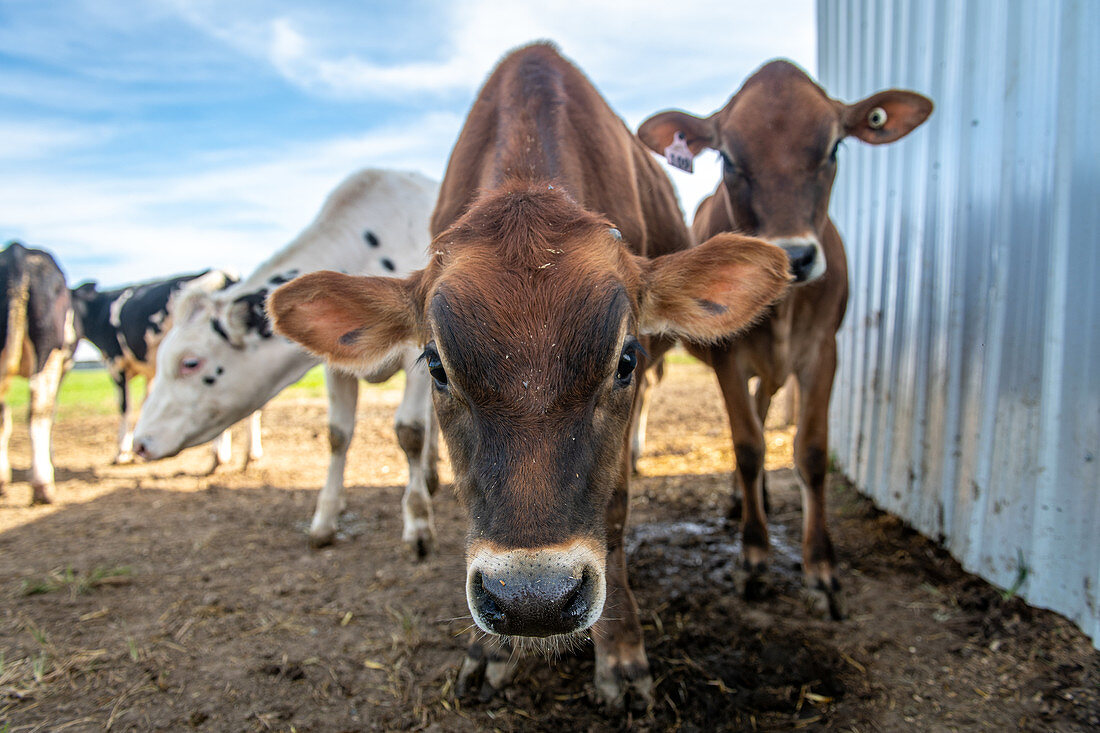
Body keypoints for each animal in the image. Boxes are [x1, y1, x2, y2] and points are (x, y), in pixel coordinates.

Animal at [71, 270, 264, 464]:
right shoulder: (149, 373)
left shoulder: (116, 363)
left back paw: (220, 454)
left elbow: (125, 406)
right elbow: (145, 402)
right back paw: (251, 452)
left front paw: (122, 453)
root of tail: (225, 274)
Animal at [137, 168, 442, 550]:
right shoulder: (336, 364)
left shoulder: (419, 354)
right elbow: (337, 435)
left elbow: (410, 431)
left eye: (190, 362)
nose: (140, 443)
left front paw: (417, 521)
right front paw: (325, 518)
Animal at [270, 42, 792, 704]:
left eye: (624, 360)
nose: (532, 602)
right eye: (436, 365)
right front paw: (487, 648)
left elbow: (614, 507)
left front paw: (621, 653)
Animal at [642, 58, 932, 616]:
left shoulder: (823, 351)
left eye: (834, 147)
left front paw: (821, 567)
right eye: (728, 158)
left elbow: (812, 453)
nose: (794, 258)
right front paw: (754, 558)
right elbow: (749, 446)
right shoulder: (728, 358)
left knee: (764, 407)